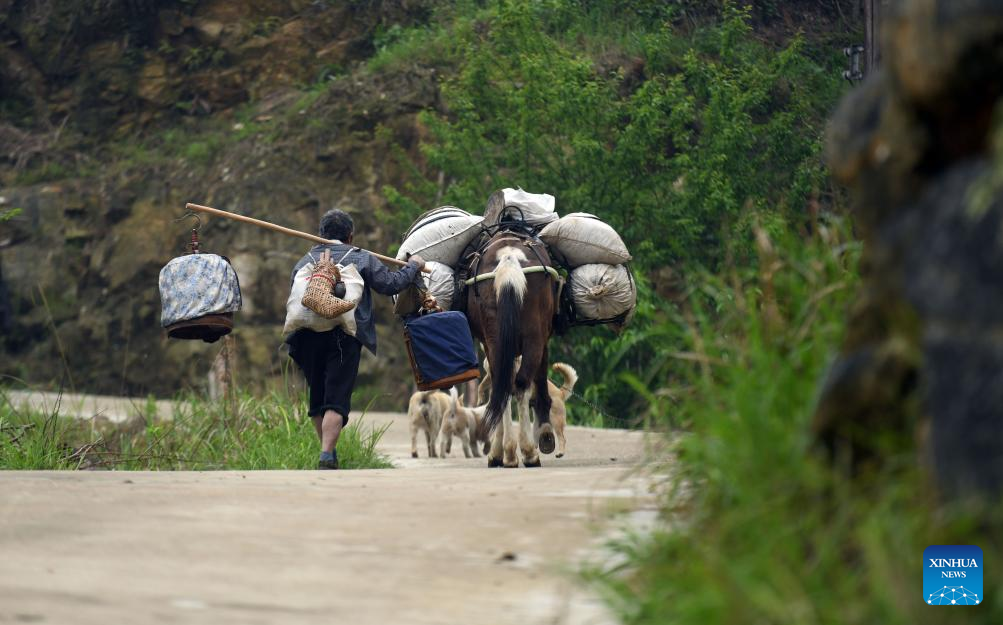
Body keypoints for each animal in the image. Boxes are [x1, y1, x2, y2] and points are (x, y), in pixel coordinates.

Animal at [465, 227, 561, 467]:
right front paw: (545, 434)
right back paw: (526, 452)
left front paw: (498, 452)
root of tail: (509, 259)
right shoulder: (544, 339)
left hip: (496, 336)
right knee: (521, 383)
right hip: (535, 335)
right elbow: (538, 381)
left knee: (506, 383)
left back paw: (507, 452)